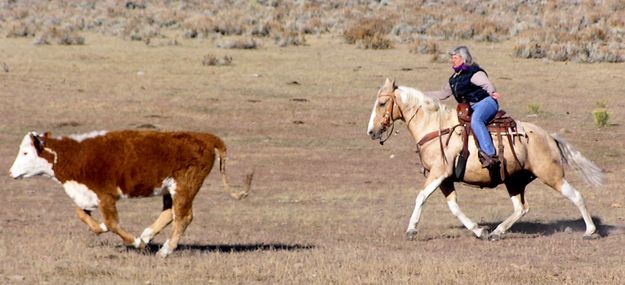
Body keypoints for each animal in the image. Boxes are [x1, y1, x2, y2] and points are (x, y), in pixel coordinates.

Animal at [7, 130, 251, 256]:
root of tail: (206, 137)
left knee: (183, 217)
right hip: (169, 189)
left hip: (185, 186)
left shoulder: (106, 196)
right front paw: (105, 229)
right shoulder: (86, 194)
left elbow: (112, 223)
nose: (10, 172)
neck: (76, 155)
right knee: (170, 213)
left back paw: (164, 249)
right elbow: (84, 215)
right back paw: (147, 236)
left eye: (26, 152)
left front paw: (134, 242)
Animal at [368, 77, 604, 240]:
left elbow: (421, 197)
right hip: (514, 181)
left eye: (382, 104)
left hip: (551, 175)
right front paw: (479, 230)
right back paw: (497, 232)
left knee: (576, 196)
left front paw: (411, 230)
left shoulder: (438, 173)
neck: (435, 126)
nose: (371, 131)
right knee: (521, 208)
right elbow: (453, 207)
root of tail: (549, 136)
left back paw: (590, 231)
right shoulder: (445, 179)